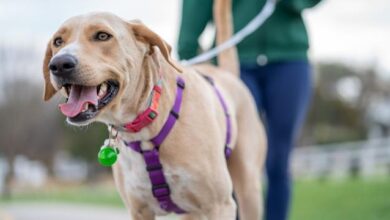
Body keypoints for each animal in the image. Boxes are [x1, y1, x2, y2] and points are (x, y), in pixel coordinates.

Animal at [44, 0, 266, 219]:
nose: (59, 64)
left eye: (102, 36)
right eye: (58, 41)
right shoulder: (139, 210)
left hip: (248, 192)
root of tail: (228, 75)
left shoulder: (220, 206)